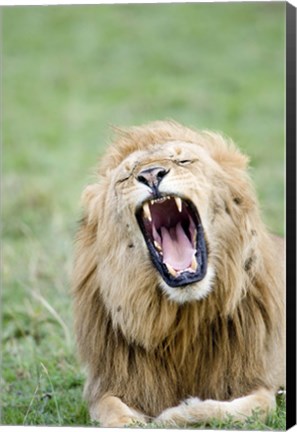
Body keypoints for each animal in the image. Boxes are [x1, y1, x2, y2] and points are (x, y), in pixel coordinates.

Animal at [72, 120, 284, 426]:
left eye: (183, 161)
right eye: (126, 177)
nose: (151, 175)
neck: (182, 319)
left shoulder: (262, 383)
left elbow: (239, 409)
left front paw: (174, 416)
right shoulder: (107, 385)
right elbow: (112, 411)